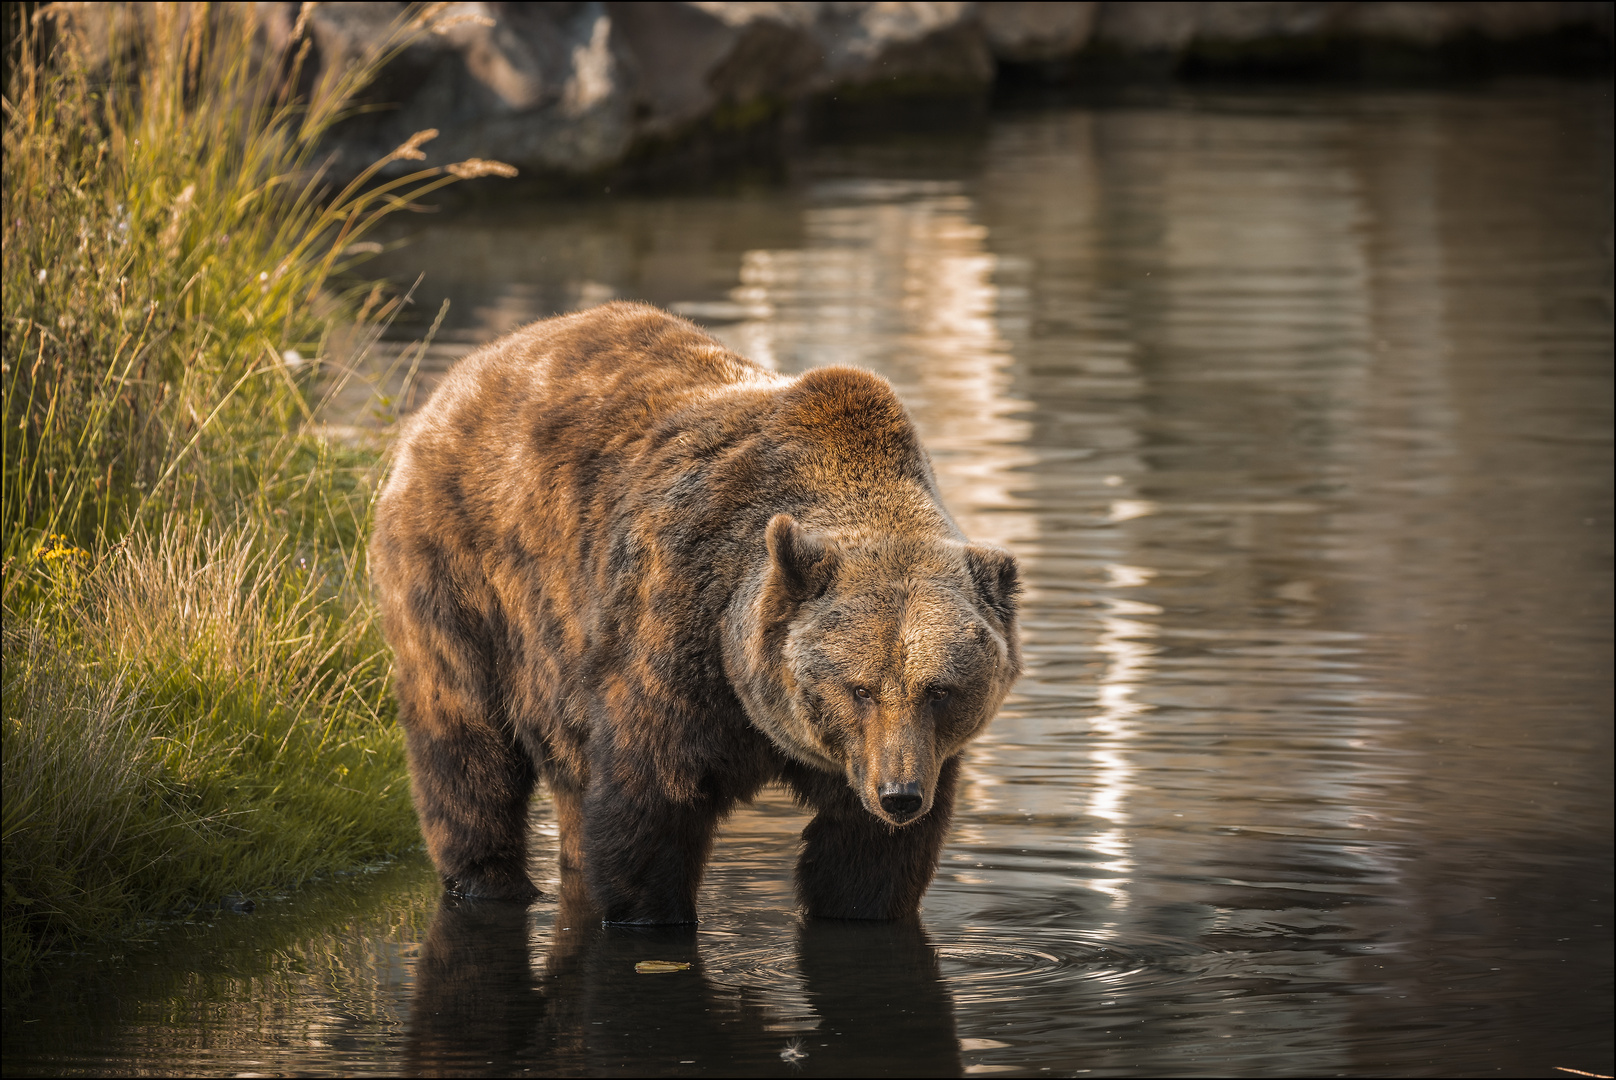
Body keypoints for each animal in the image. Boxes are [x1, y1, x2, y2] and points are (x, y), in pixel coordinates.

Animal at [368, 302, 1021, 918]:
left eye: (940, 689)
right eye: (859, 688)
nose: (899, 794)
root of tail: (464, 374)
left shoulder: (892, 758)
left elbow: (868, 865)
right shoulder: (673, 638)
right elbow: (647, 810)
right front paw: (648, 911)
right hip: (467, 576)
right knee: (465, 740)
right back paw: (490, 878)